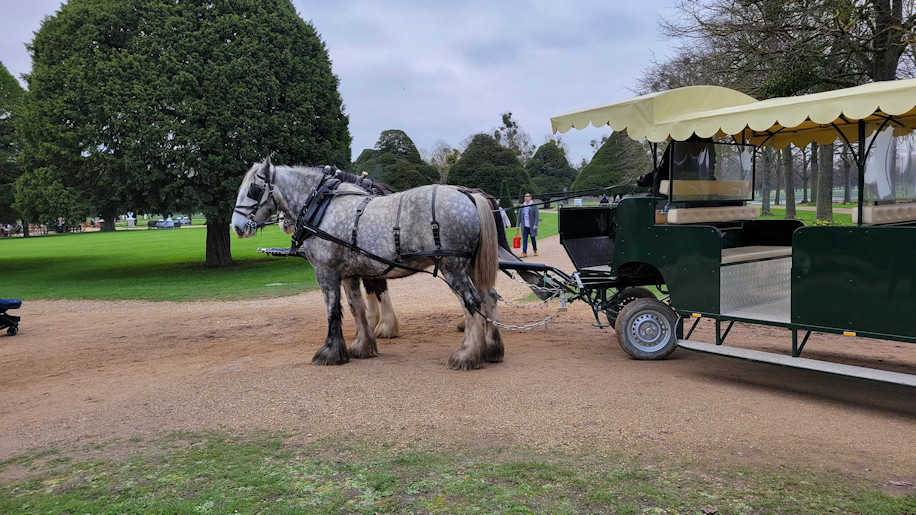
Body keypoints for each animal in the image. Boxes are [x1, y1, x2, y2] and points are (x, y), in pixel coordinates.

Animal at [232, 158, 503, 370]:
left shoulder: (325, 271)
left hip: (453, 266)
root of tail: (469, 196)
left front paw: (330, 351)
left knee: (472, 301)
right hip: (470, 266)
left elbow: (333, 310)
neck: (322, 206)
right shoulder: (349, 274)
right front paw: (362, 345)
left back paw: (467, 355)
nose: (236, 226)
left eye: (253, 189)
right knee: (488, 296)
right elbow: (356, 308)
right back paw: (492, 348)